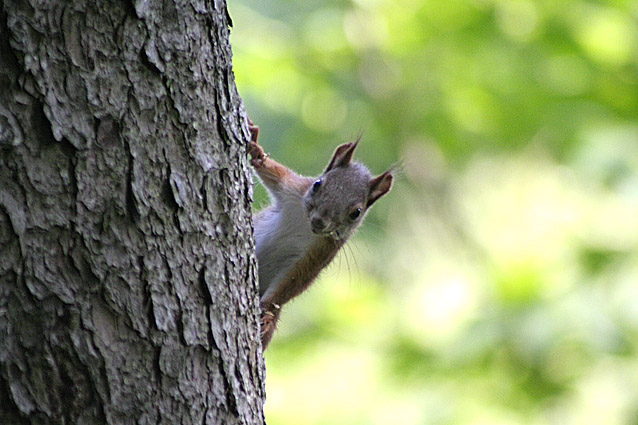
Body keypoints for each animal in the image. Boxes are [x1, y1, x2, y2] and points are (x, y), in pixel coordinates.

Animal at [246, 119, 392, 348]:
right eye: (317, 184)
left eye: (356, 213)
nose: (319, 221)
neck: (304, 223)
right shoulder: (293, 187)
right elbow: (274, 171)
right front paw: (257, 149)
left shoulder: (321, 250)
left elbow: (294, 278)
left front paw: (267, 309)